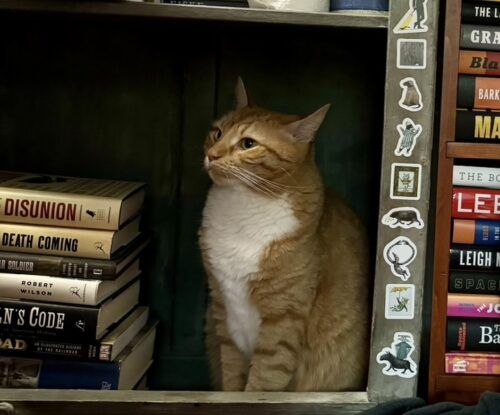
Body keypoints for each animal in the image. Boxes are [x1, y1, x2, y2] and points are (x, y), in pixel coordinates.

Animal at [200, 79, 372, 394]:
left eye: (248, 144)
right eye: (217, 132)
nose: (212, 154)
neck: (242, 204)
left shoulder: (283, 317)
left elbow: (264, 378)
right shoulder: (222, 309)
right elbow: (231, 376)